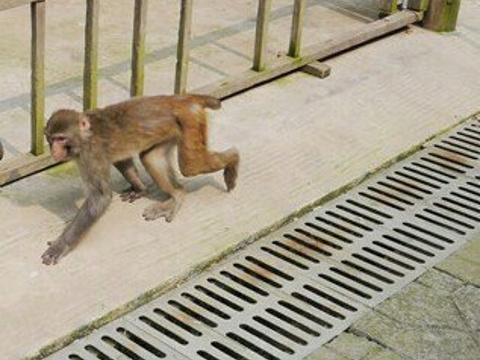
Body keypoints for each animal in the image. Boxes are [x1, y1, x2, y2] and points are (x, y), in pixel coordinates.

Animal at [40, 94, 239, 266]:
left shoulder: (91, 154)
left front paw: (62, 245)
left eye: (61, 139)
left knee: (191, 166)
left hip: (190, 121)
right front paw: (139, 189)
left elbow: (100, 197)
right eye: (50, 139)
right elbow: (121, 160)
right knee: (151, 157)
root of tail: (181, 99)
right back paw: (177, 194)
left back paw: (233, 159)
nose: (54, 150)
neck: (86, 135)